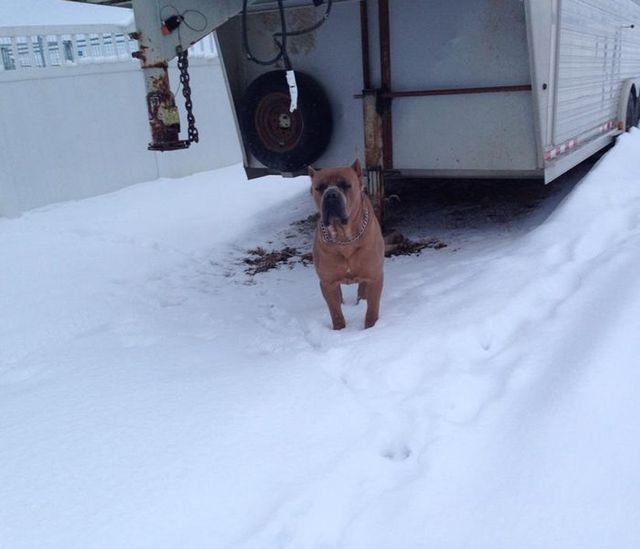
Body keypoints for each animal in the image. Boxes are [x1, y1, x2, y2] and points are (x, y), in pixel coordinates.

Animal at [310, 158, 384, 330]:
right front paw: (339, 330)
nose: (331, 195)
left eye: (345, 185)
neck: (344, 238)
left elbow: (372, 308)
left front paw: (371, 327)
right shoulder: (328, 283)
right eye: (319, 188)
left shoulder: (374, 276)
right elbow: (335, 311)